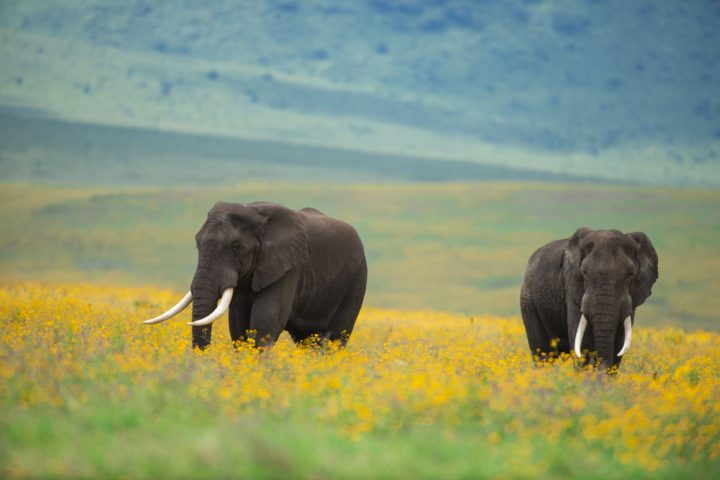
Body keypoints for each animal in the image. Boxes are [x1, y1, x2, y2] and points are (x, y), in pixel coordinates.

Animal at [143, 201, 367, 349]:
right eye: (197, 244)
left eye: (236, 247)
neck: (253, 212)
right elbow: (238, 324)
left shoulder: (289, 266)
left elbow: (266, 320)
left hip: (356, 279)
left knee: (337, 338)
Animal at [519, 227, 658, 369]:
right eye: (584, 272)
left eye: (631, 273)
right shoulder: (572, 289)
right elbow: (583, 342)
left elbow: (620, 342)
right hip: (528, 302)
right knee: (542, 352)